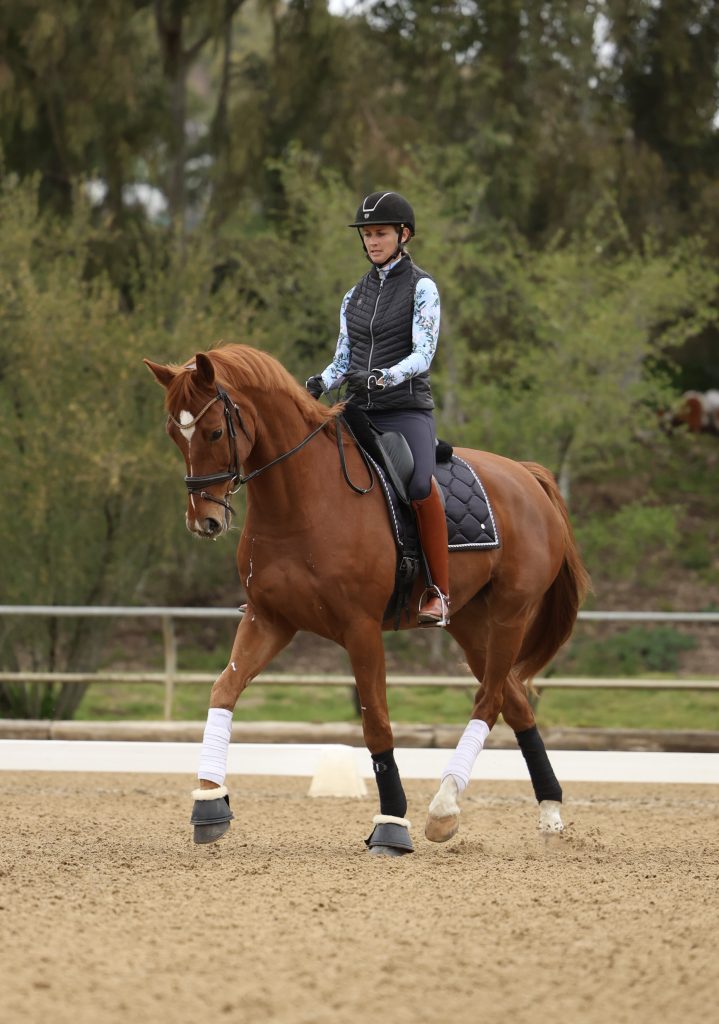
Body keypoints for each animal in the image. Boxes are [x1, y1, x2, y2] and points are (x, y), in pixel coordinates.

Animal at [145, 344, 590, 855]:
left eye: (216, 431)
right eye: (174, 435)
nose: (205, 521)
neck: (301, 500)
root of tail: (528, 475)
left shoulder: (360, 629)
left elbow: (375, 721)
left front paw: (392, 824)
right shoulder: (268, 620)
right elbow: (223, 690)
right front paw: (209, 804)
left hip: (510, 614)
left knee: (491, 698)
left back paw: (443, 808)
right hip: (470, 623)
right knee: (514, 702)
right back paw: (547, 813)